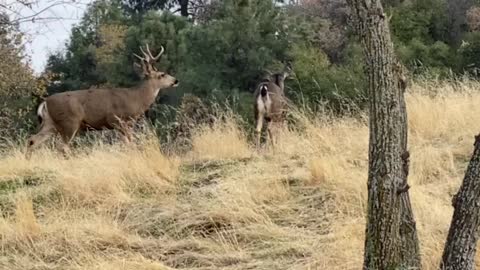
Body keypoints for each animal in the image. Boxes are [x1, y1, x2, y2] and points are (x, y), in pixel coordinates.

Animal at [24, 43, 178, 159]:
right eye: (162, 74)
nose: (176, 80)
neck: (136, 98)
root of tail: (45, 102)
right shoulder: (117, 120)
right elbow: (130, 143)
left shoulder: (122, 124)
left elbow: (127, 143)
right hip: (69, 122)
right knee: (61, 146)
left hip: (50, 123)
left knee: (33, 140)